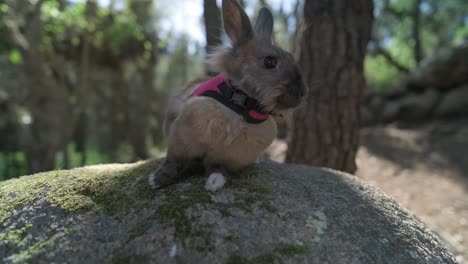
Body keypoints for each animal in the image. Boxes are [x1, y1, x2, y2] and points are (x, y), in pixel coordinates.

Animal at [148, 0, 306, 192]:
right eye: (270, 61)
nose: (302, 94)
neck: (240, 106)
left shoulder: (228, 155)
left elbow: (217, 166)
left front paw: (215, 183)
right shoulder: (181, 140)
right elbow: (173, 162)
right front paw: (156, 180)